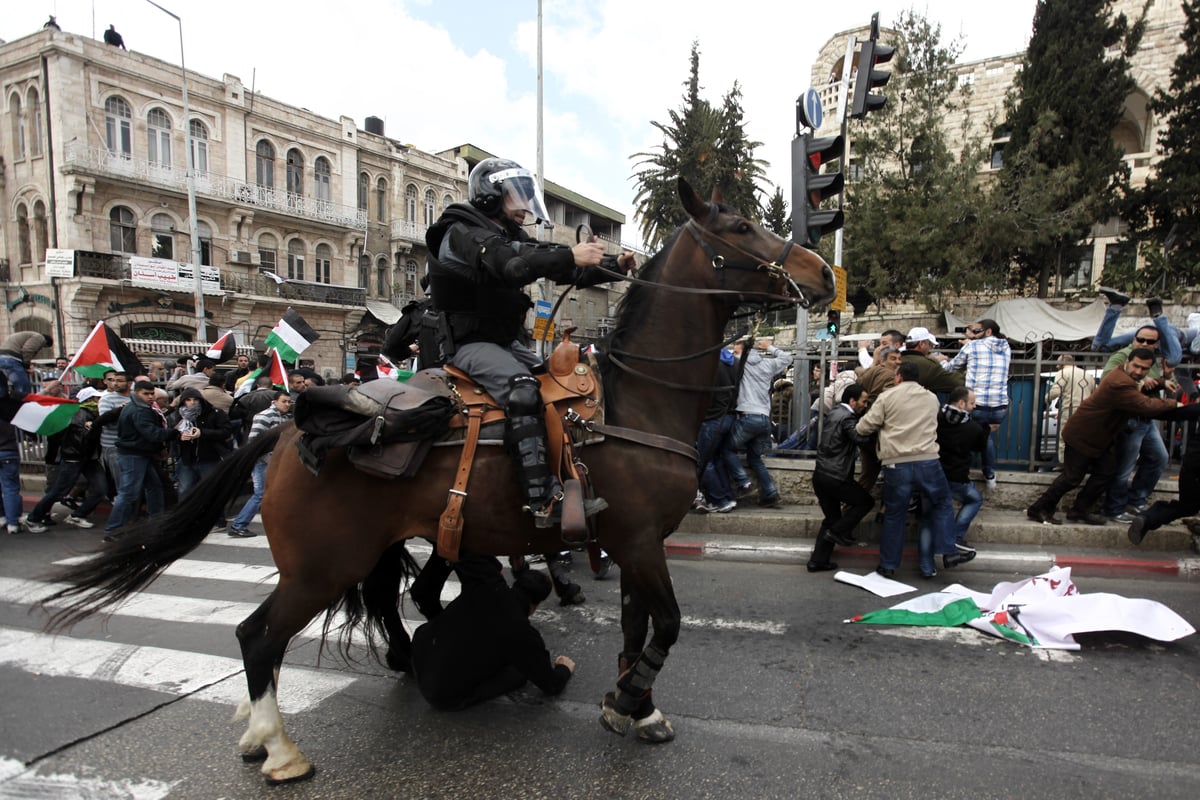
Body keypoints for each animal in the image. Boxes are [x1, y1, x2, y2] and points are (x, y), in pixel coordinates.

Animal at [44, 178, 835, 786]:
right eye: (740, 227)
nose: (825, 275)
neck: (637, 399)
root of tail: (288, 428)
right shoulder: (640, 541)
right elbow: (665, 624)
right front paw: (635, 696)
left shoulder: (633, 543)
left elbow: (638, 624)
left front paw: (630, 704)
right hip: (321, 567)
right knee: (257, 636)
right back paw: (280, 747)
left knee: (343, 615)